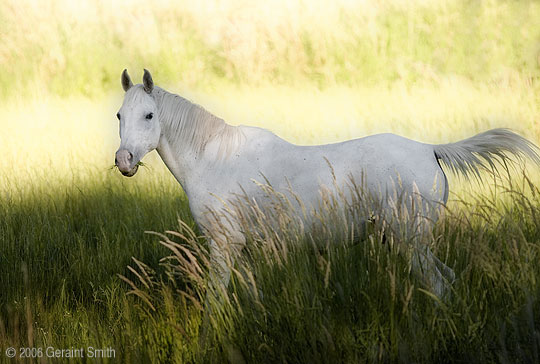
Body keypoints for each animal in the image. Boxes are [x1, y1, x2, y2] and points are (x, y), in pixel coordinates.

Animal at [114, 69, 540, 298]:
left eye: (149, 115)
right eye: (119, 115)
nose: (124, 161)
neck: (213, 159)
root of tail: (429, 149)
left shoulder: (223, 245)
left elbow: (215, 302)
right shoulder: (242, 250)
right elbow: (251, 297)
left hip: (411, 241)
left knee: (438, 285)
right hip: (411, 240)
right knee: (446, 280)